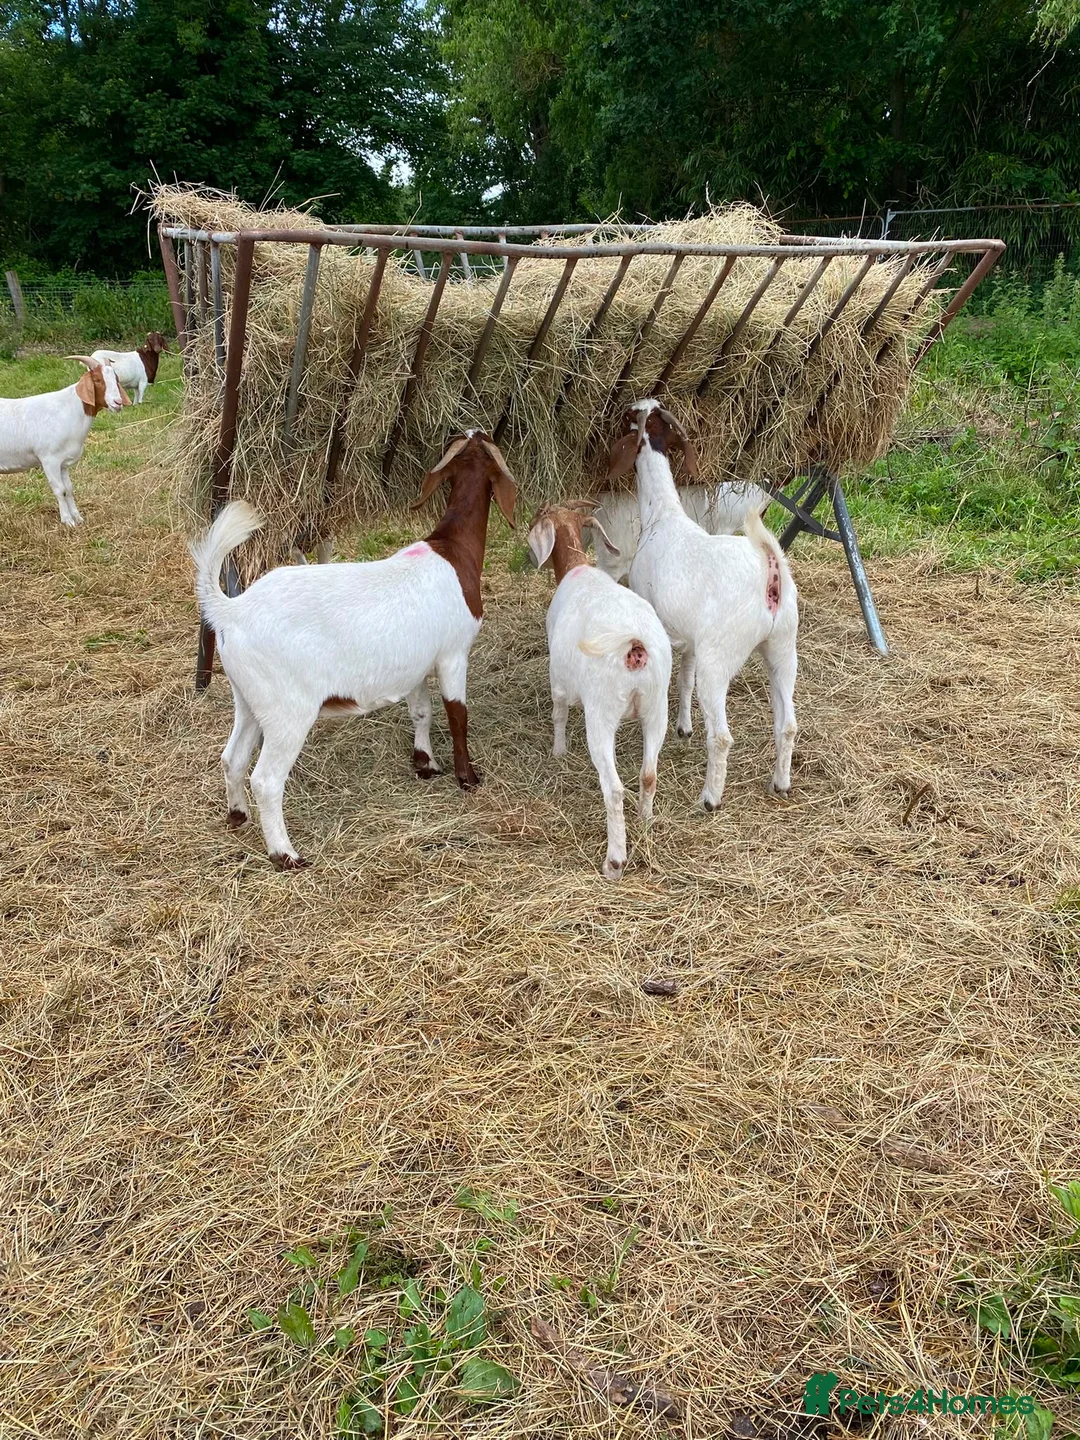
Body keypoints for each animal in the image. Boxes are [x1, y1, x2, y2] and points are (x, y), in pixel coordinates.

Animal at [0, 357, 129, 525]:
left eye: (116, 379)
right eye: (97, 379)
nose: (118, 402)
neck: (69, 411)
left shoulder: (63, 463)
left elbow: (68, 488)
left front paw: (78, 518)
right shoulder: (49, 459)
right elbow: (59, 490)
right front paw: (67, 520)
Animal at [190, 430, 516, 869]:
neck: (451, 550)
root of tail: (232, 609)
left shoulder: (415, 664)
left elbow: (422, 711)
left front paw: (425, 763)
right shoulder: (453, 654)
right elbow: (457, 715)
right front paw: (467, 778)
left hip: (249, 698)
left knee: (233, 758)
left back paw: (237, 815)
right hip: (288, 709)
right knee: (267, 779)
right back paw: (285, 854)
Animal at [528, 501, 671, 879]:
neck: (577, 569)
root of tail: (635, 646)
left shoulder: (557, 678)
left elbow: (558, 714)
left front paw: (558, 752)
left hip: (602, 714)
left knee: (614, 790)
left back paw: (615, 861)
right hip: (657, 707)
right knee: (648, 774)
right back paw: (646, 822)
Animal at [608, 399, 798, 810]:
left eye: (631, 416)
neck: (663, 515)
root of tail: (770, 572)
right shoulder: (691, 637)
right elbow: (684, 677)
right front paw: (683, 726)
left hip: (721, 658)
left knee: (723, 736)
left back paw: (710, 798)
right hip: (783, 646)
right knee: (788, 723)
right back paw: (780, 782)